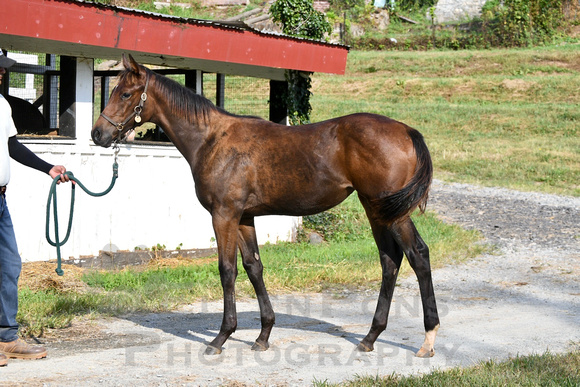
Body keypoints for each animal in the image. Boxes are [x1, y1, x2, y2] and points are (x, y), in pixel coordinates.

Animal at [92, 53, 440, 358]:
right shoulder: (245, 217)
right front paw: (263, 335)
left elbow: (227, 270)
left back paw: (427, 340)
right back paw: (370, 337)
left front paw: (221, 337)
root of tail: (406, 130)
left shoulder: (224, 215)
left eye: (125, 93)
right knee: (390, 261)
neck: (212, 140)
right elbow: (254, 267)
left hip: (392, 213)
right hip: (376, 210)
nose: (98, 134)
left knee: (418, 255)